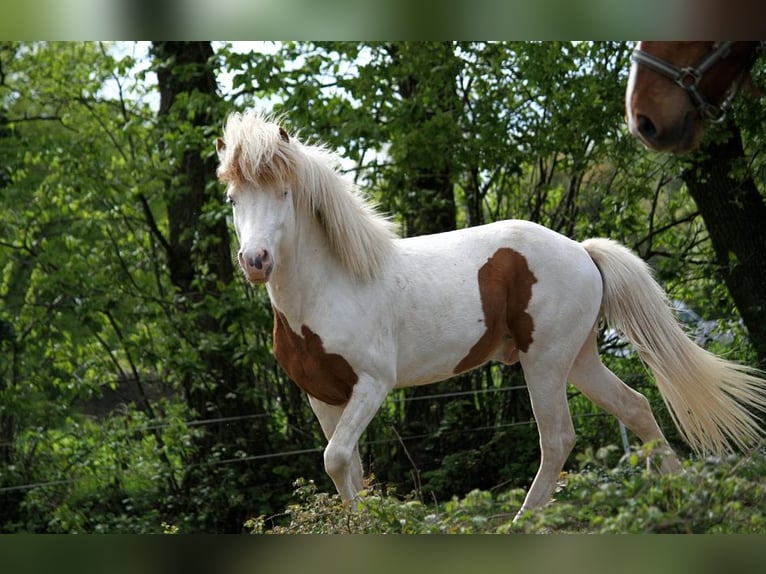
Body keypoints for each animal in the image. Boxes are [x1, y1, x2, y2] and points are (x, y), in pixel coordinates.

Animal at [218, 110, 766, 520]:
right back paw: (681, 500)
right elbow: (347, 467)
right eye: (233, 197)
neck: (330, 288)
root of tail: (583, 251)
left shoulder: (372, 385)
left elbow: (336, 460)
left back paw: (525, 520)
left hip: (544, 363)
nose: (255, 261)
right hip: (580, 359)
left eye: (284, 192)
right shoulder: (324, 398)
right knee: (635, 408)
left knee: (558, 438)